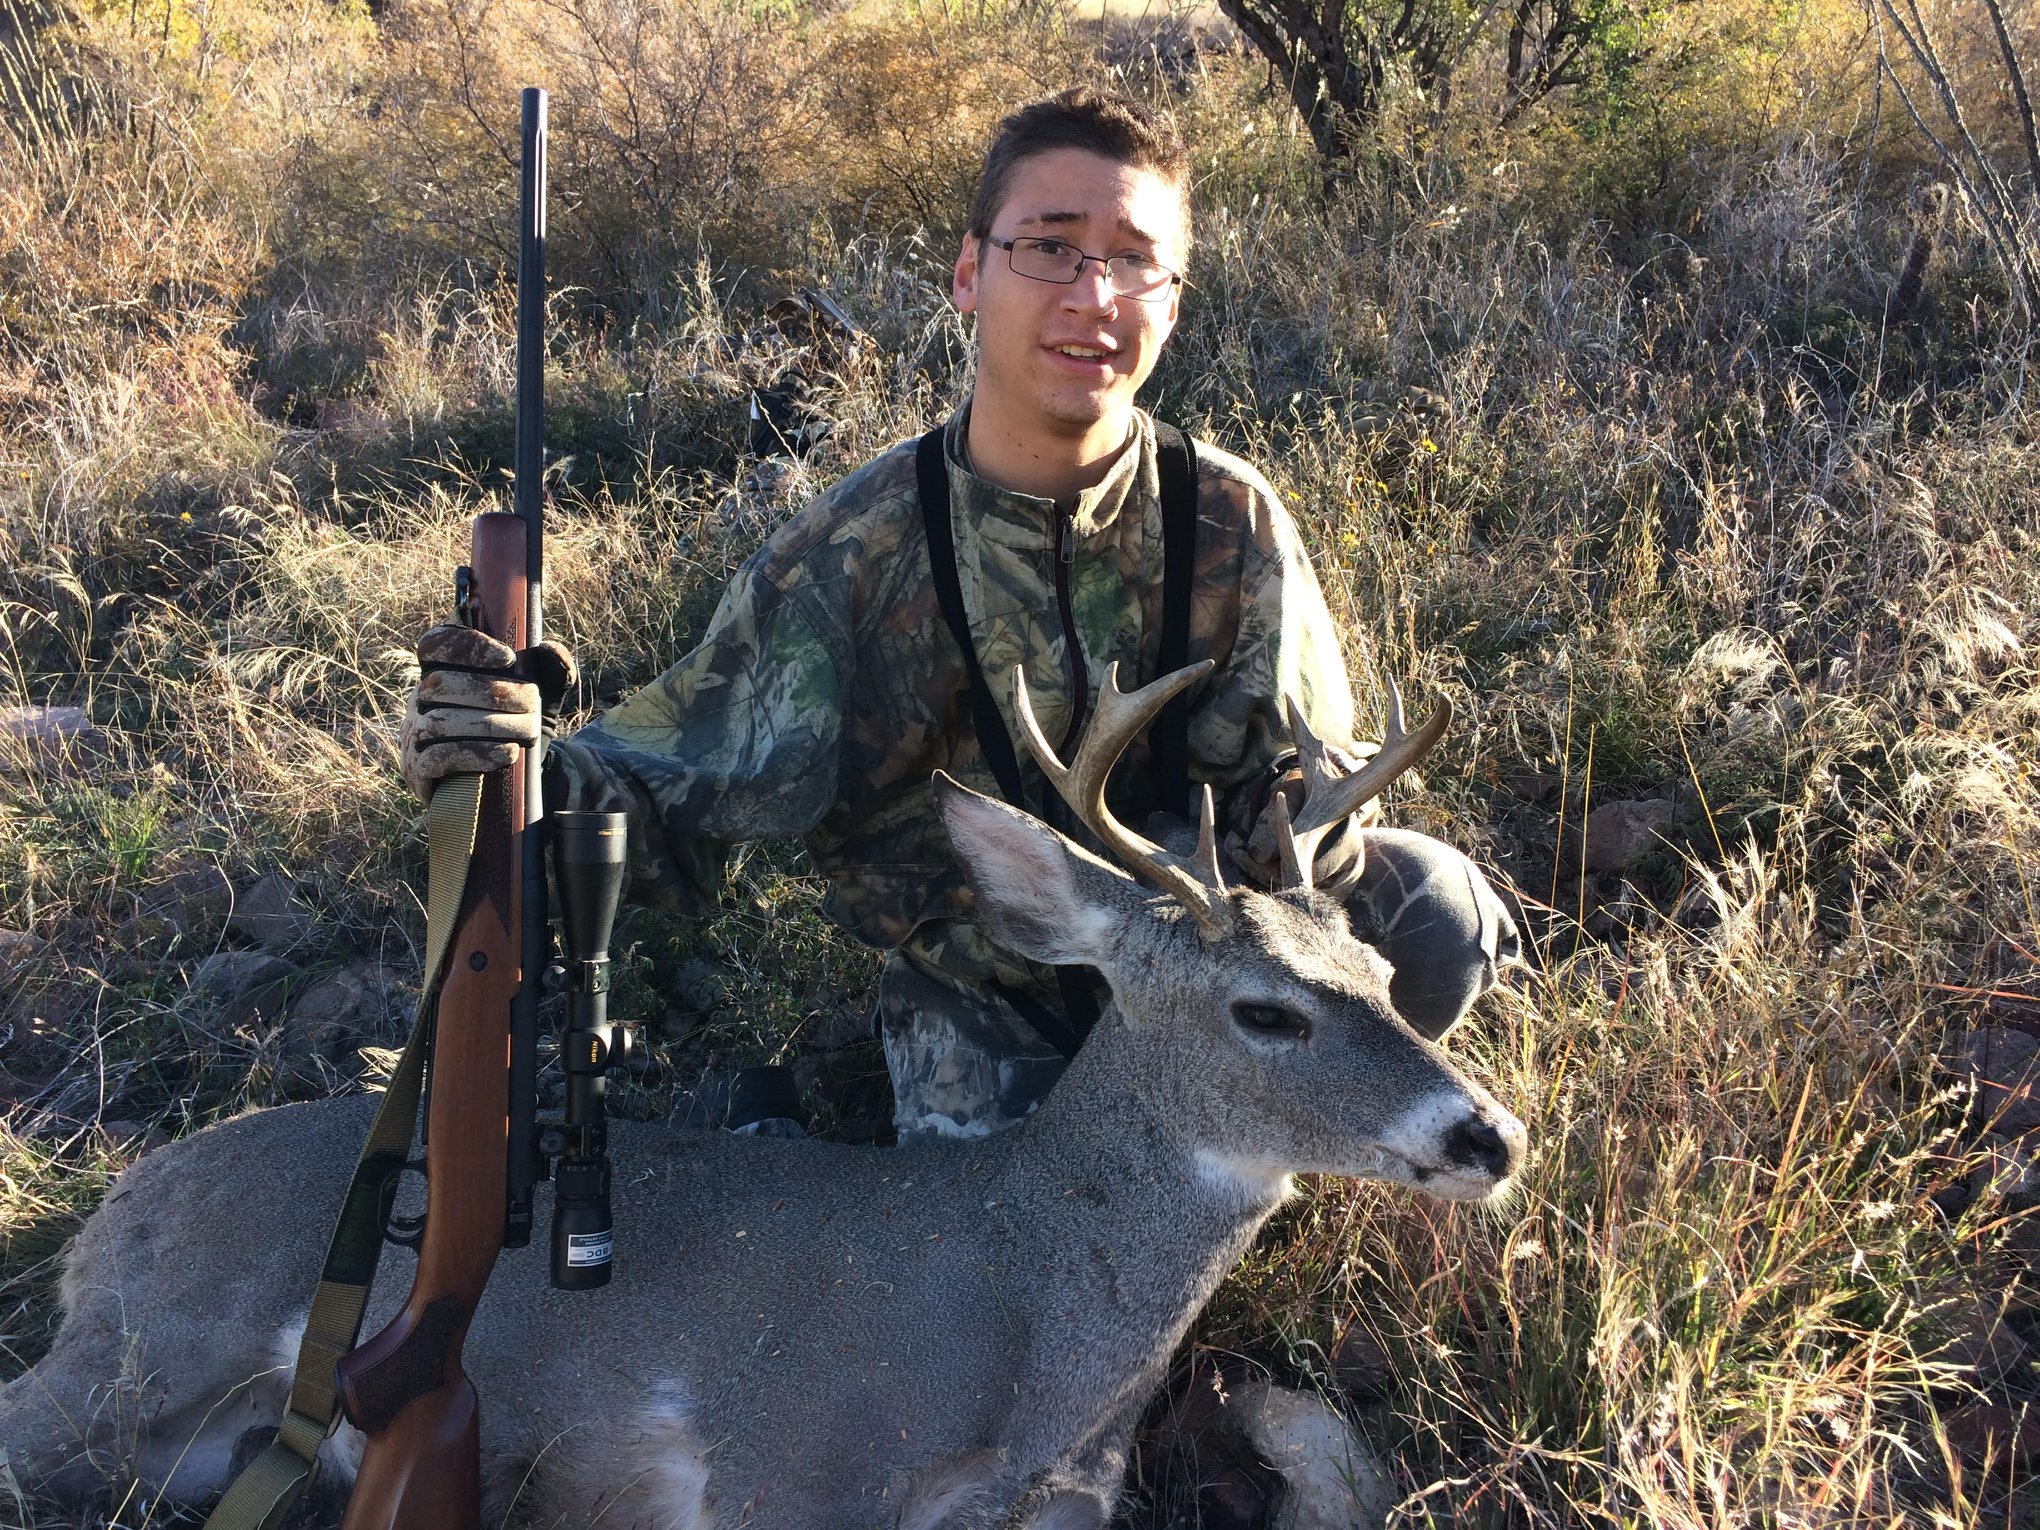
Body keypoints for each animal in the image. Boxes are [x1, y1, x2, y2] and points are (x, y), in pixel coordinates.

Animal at [0, 660, 1525, 1530]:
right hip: (148, 1347)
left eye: (1379, 972)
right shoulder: (795, 1457)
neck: (1033, 1309)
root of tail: (113, 1213)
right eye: (1264, 1009)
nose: (1490, 1135)